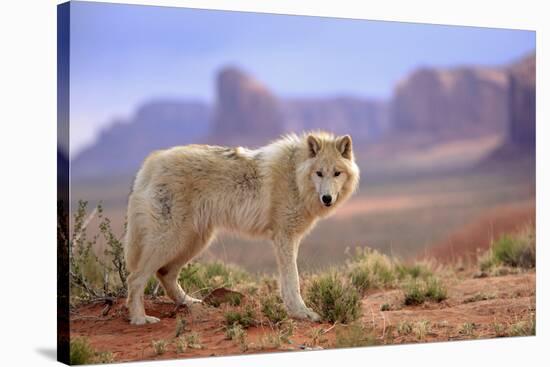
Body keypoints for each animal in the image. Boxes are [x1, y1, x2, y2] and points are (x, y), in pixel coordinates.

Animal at [124, 132, 362, 324]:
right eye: (319, 173)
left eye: (337, 173)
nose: (327, 198)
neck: (295, 175)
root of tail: (151, 162)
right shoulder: (284, 237)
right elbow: (293, 280)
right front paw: (302, 313)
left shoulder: (290, 238)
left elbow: (288, 281)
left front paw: (295, 311)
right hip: (172, 240)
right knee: (135, 278)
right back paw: (140, 319)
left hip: (194, 241)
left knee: (165, 274)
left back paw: (190, 303)